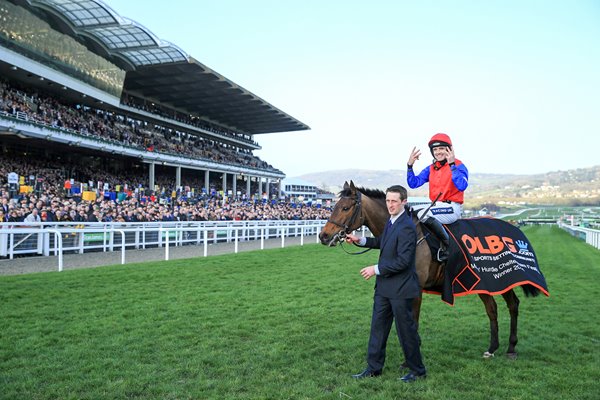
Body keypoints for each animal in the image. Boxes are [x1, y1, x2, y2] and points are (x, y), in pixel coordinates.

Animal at [318, 181, 536, 360]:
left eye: (345, 208)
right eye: (332, 206)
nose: (323, 235)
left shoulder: (414, 288)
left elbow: (412, 320)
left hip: (500, 277)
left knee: (512, 304)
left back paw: (511, 347)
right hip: (482, 282)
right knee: (492, 308)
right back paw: (492, 348)